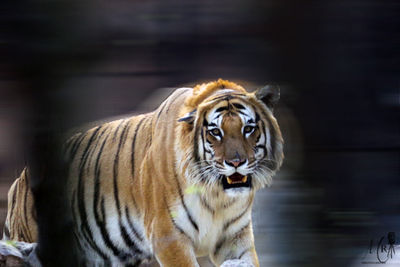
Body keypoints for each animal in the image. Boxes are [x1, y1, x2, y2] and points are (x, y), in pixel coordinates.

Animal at [3, 80, 284, 267]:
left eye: (248, 128)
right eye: (215, 132)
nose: (236, 162)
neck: (217, 197)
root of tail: (20, 179)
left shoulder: (235, 240)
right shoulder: (168, 236)